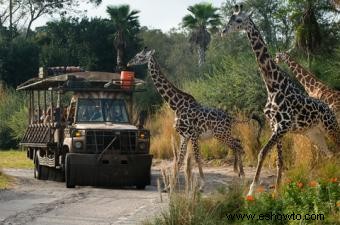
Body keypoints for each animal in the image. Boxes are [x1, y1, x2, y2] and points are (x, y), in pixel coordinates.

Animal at [220, 4, 340, 196]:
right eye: (229, 19)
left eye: (238, 20)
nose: (223, 31)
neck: (272, 85)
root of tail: (329, 109)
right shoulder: (274, 125)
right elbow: (279, 161)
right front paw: (276, 192)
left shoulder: (283, 126)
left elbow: (262, 153)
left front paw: (252, 190)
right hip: (314, 133)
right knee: (330, 154)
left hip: (330, 127)